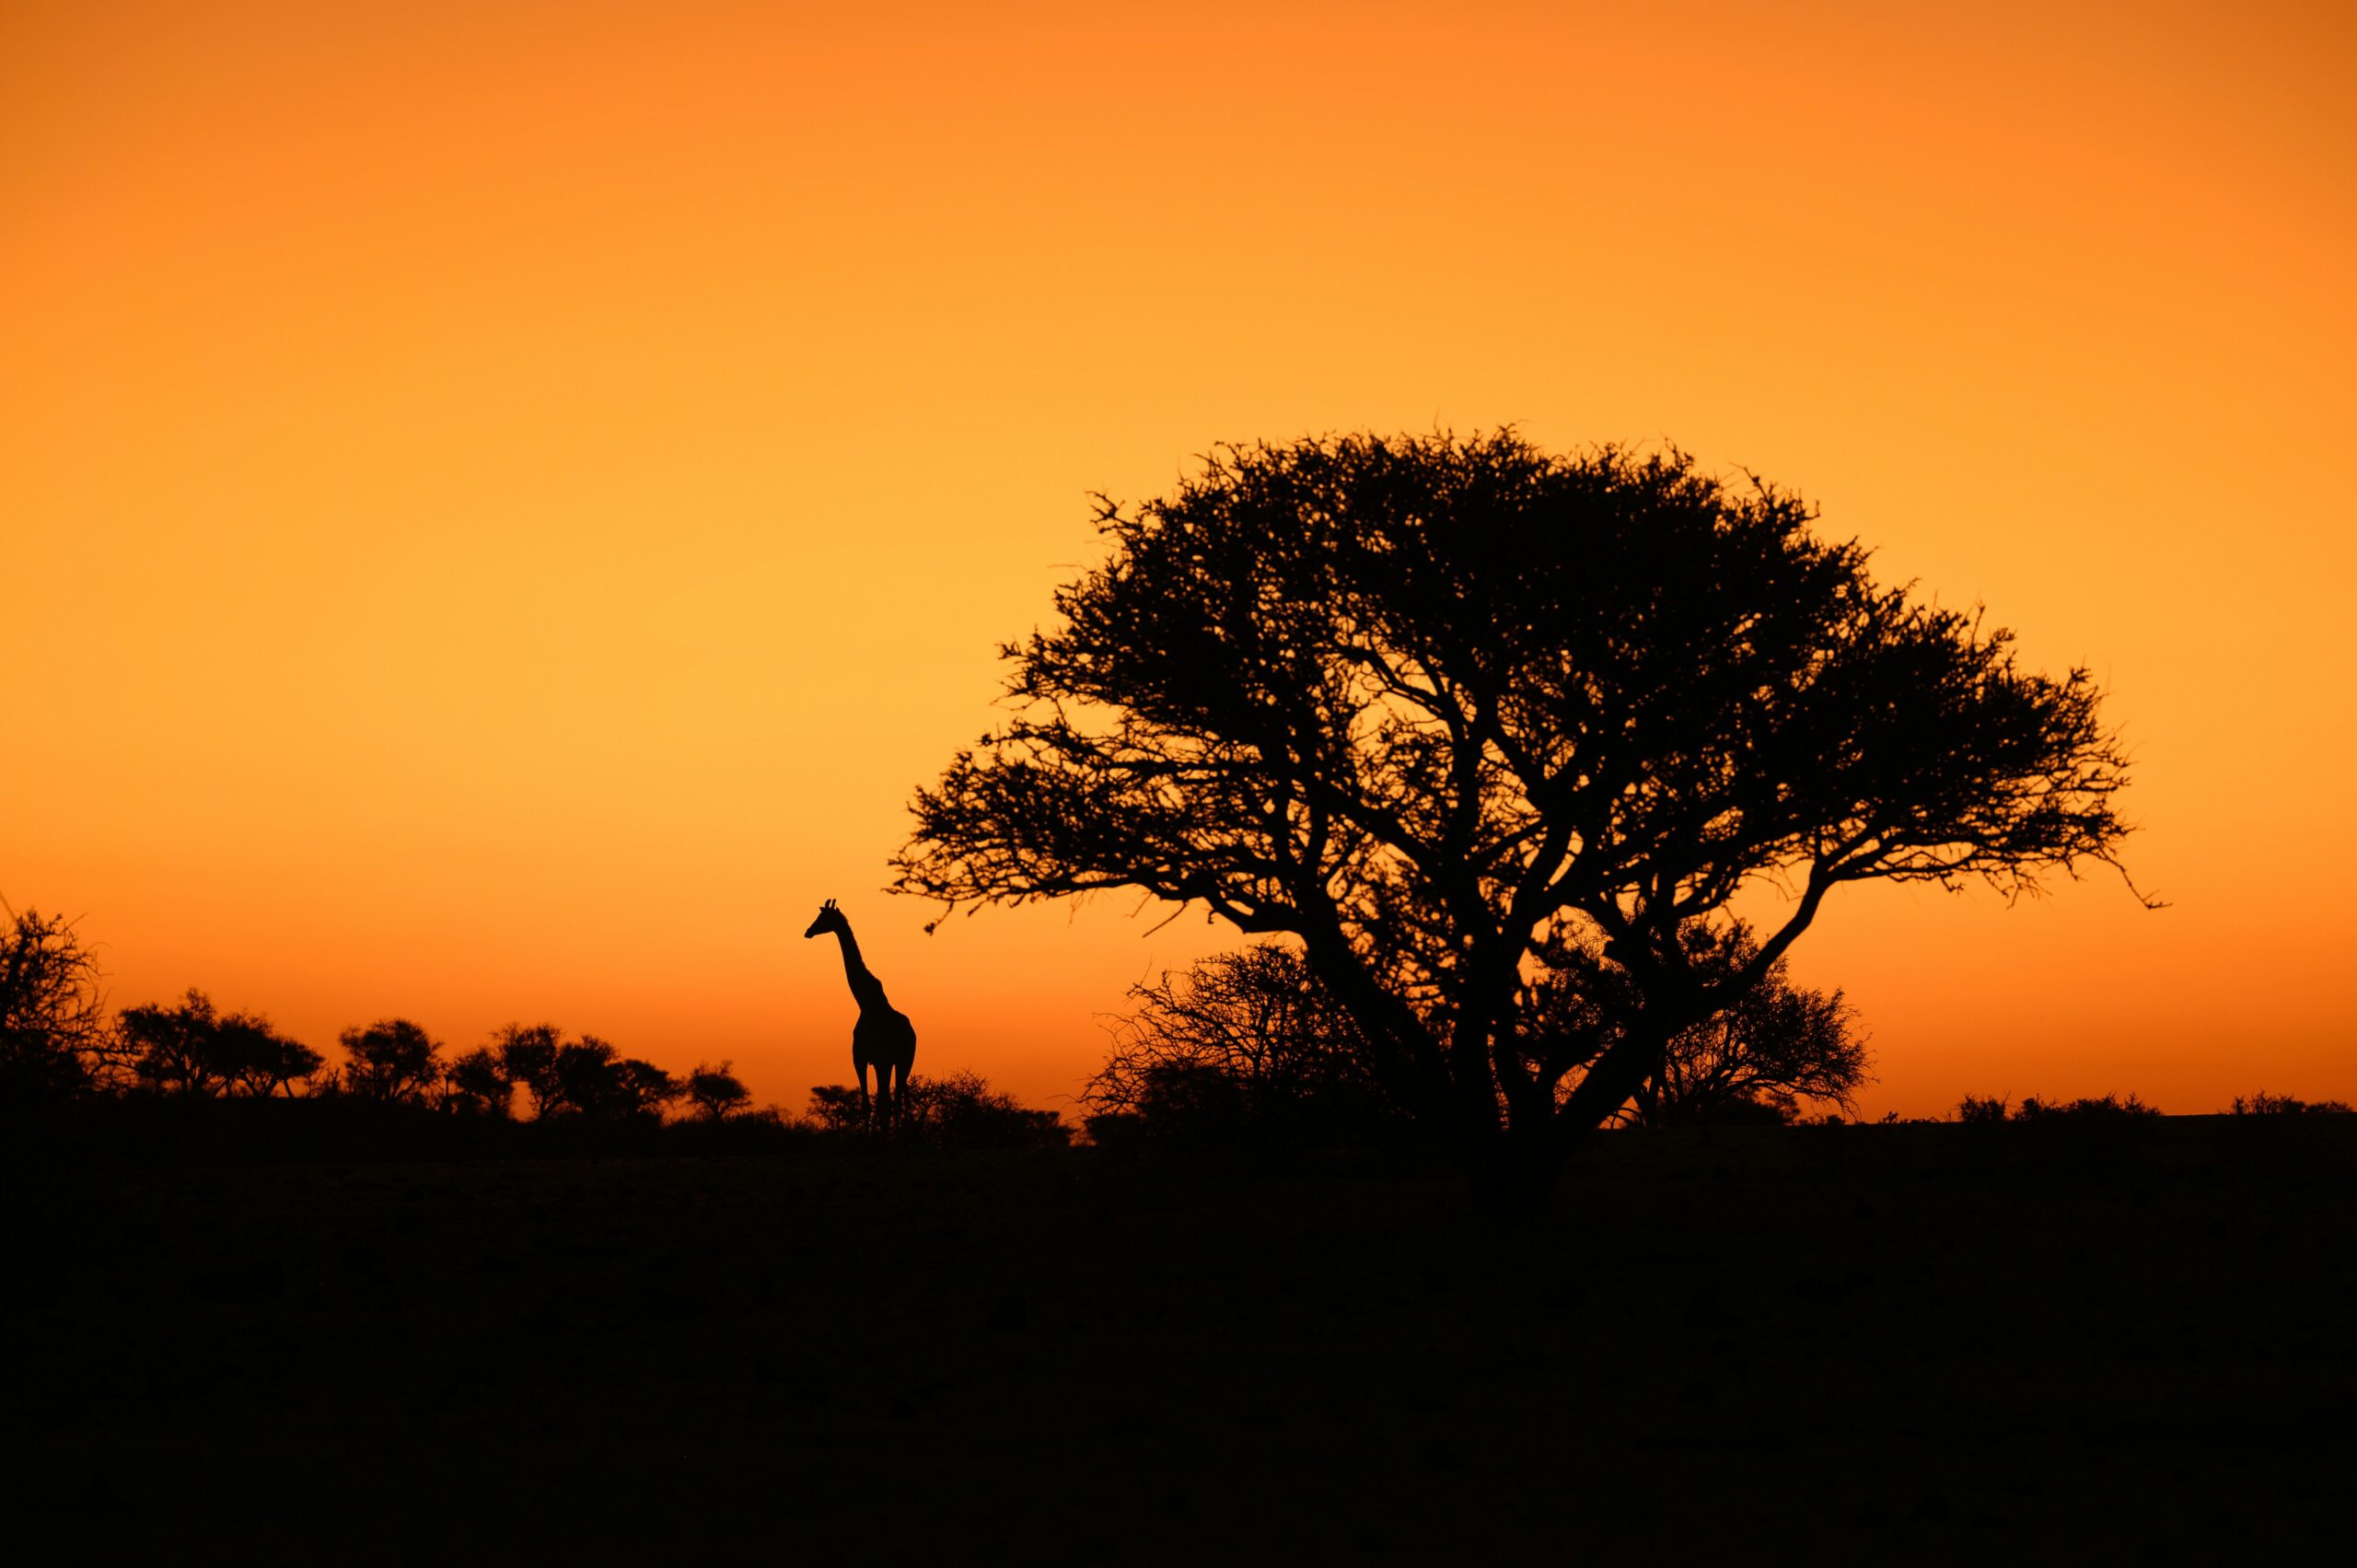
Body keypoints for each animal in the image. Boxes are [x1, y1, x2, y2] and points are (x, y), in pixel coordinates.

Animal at [803, 899, 917, 1131]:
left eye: (823, 918)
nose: (808, 932)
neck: (866, 1003)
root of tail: (911, 1032)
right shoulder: (868, 1059)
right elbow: (871, 1104)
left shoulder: (870, 1058)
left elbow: (875, 1104)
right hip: (899, 1062)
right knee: (896, 1100)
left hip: (897, 1061)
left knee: (892, 1101)